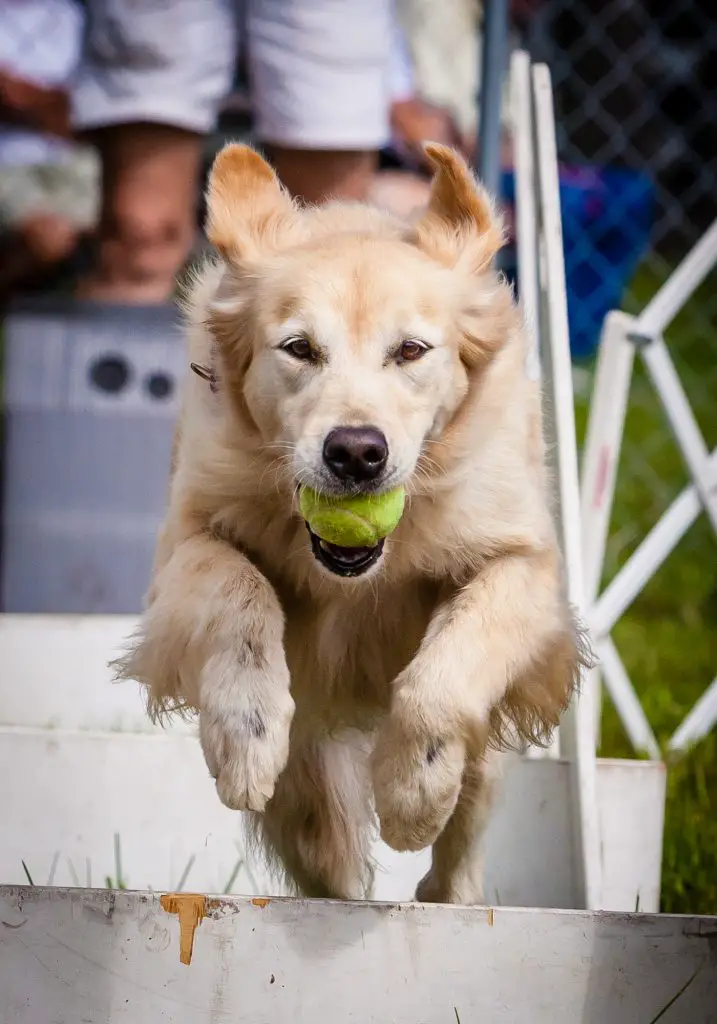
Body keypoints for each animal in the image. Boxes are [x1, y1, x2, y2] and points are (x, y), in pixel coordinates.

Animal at [116, 140, 589, 901]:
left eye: (411, 350)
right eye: (299, 348)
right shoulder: (188, 538)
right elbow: (236, 594)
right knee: (327, 853)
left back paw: (446, 889)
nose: (357, 454)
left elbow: (445, 672)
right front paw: (245, 737)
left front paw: (412, 793)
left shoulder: (521, 563)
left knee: (468, 815)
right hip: (307, 793)